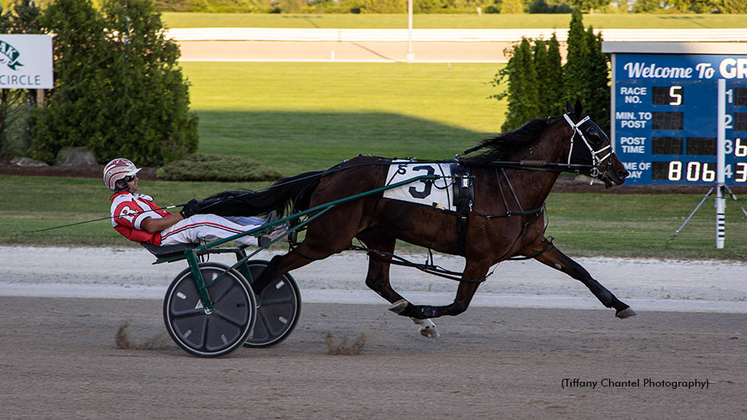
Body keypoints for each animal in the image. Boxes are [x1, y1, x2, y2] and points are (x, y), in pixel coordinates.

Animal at [203, 100, 636, 336]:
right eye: (595, 135)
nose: (621, 171)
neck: (507, 182)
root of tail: (330, 173)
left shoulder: (534, 243)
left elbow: (579, 270)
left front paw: (619, 304)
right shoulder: (479, 257)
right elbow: (459, 304)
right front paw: (428, 312)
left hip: (378, 234)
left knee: (377, 281)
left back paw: (410, 313)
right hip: (327, 238)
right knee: (277, 264)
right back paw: (245, 305)